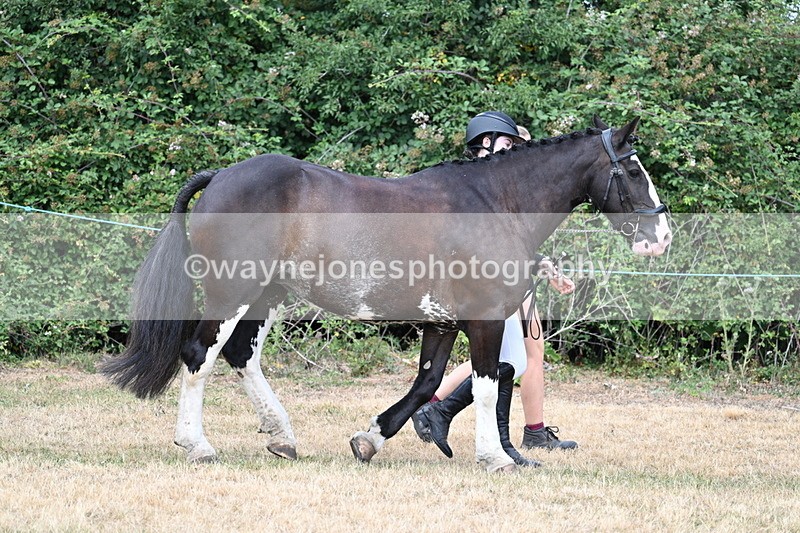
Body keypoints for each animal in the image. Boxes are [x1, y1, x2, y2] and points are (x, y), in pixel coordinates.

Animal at [101, 116, 671, 472]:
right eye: (633, 170)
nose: (661, 236)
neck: (495, 202)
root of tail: (221, 174)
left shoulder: (442, 321)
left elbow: (427, 384)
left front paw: (370, 439)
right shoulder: (485, 318)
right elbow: (488, 385)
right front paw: (495, 458)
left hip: (267, 294)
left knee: (243, 355)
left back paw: (282, 437)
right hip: (233, 290)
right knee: (200, 354)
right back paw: (197, 445)